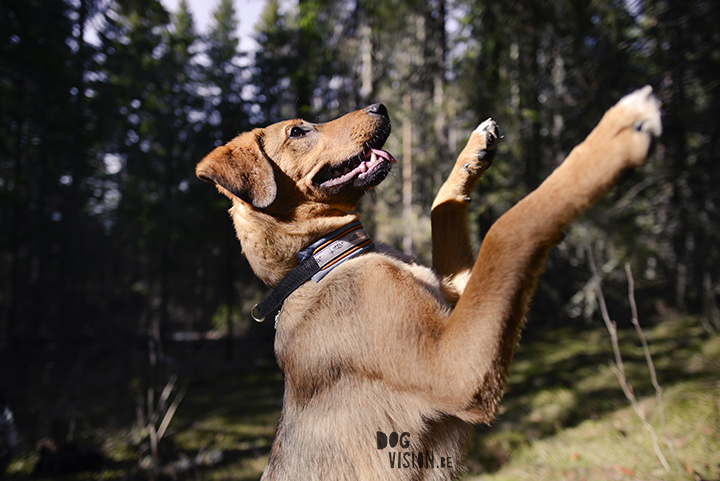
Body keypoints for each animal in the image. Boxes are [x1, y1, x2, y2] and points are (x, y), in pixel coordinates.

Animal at [197, 88, 664, 478]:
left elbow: (443, 207)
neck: (318, 259)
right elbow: (508, 227)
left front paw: (474, 152)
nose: (381, 106)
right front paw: (614, 136)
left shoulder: (456, 297)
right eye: (297, 131)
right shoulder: (456, 368)